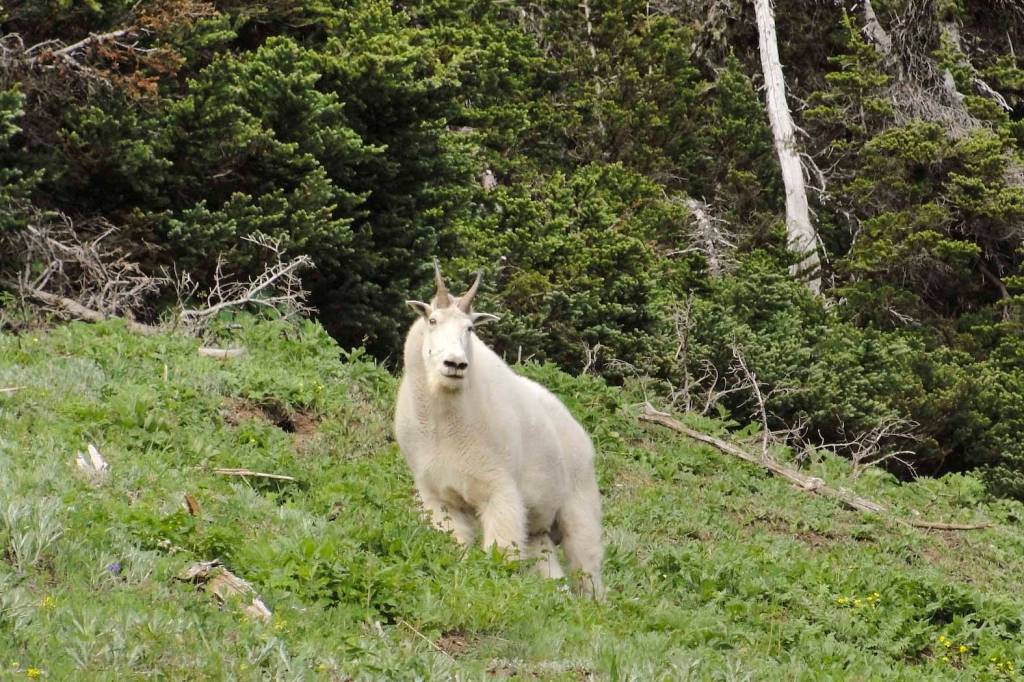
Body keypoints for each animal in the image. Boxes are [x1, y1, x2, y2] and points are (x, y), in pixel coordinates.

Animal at [394, 262, 605, 598]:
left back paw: (593, 604)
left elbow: (502, 551)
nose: (455, 364)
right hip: (539, 528)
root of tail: (579, 432)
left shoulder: (500, 489)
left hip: (579, 502)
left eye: (470, 328)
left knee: (587, 564)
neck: (445, 423)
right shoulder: (439, 496)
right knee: (547, 563)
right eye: (432, 320)